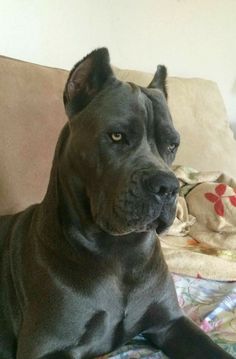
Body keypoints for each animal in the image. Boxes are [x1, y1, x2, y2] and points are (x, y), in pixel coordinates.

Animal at [0, 48, 232, 359]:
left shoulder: (171, 323)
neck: (121, 253)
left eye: (172, 144)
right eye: (117, 136)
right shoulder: (47, 347)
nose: (168, 186)